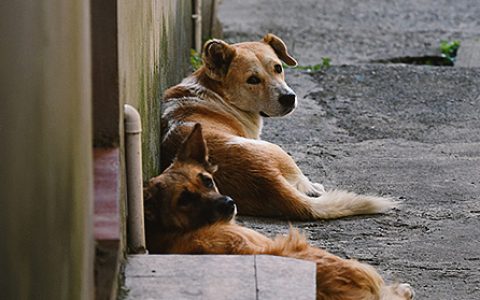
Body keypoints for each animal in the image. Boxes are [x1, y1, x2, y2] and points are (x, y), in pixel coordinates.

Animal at [163, 33, 396, 220]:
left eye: (278, 68)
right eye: (253, 79)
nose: (289, 98)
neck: (213, 92)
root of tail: (265, 180)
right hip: (276, 150)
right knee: (306, 187)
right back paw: (314, 187)